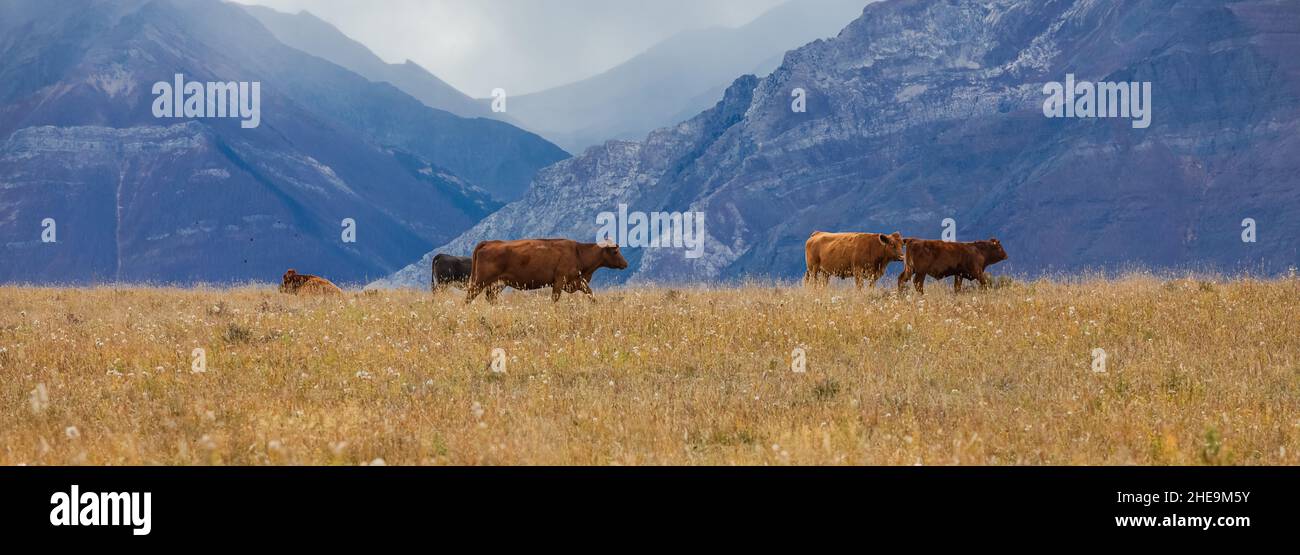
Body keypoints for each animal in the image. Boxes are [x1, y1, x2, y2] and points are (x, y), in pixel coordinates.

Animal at [467, 239, 629, 304]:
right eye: (615, 251)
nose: (626, 264)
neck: (578, 252)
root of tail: (488, 242)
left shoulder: (577, 282)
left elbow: (591, 294)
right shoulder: (559, 282)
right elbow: (554, 299)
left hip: (497, 284)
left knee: (490, 298)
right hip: (480, 281)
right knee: (469, 297)